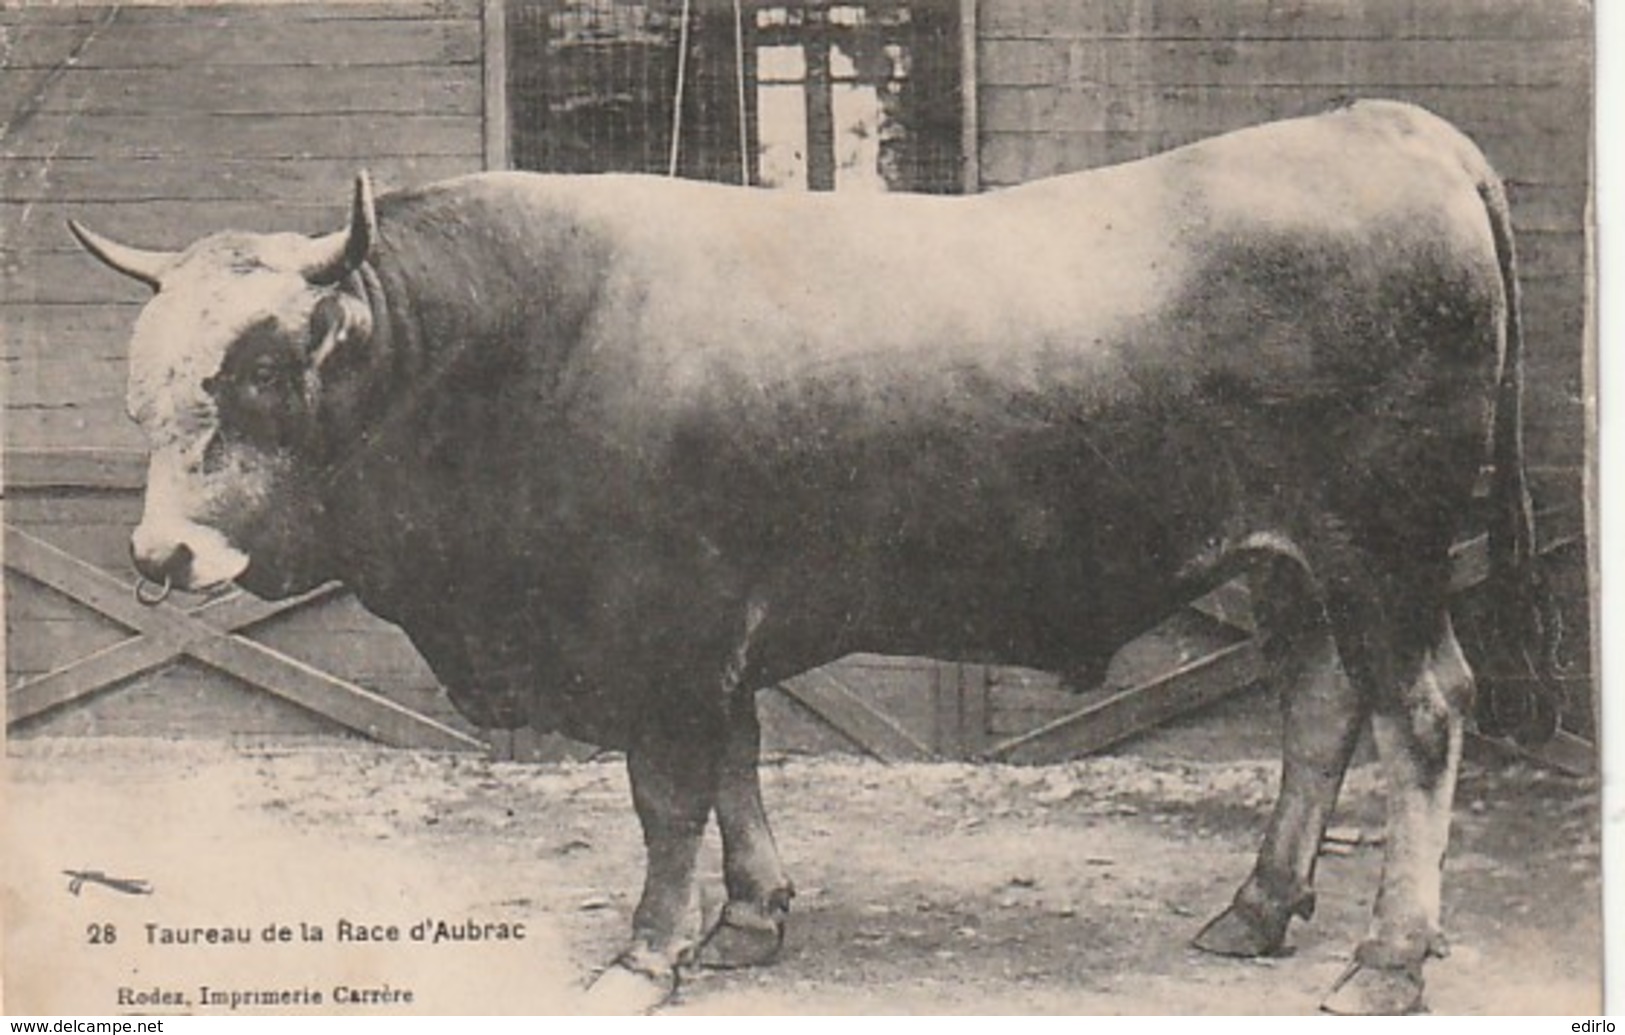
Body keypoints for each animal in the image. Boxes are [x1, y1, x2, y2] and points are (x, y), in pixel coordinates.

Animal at [76, 98, 1560, 1007]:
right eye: (143, 386)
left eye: (261, 372)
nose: (160, 555)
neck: (512, 336)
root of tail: (1384, 127)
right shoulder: (714, 628)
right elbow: (737, 760)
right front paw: (749, 916)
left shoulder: (660, 625)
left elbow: (668, 792)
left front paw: (648, 954)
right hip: (1291, 561)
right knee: (1319, 708)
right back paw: (1256, 906)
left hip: (1381, 548)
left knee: (1424, 711)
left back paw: (1385, 957)